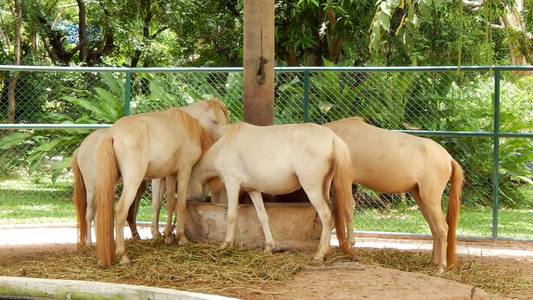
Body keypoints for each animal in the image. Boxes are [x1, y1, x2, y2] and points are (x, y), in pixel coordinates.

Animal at [96, 99, 229, 268]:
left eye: (224, 119)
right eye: (214, 120)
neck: (189, 124)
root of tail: (113, 133)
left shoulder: (171, 175)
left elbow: (170, 203)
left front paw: (167, 236)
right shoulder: (184, 170)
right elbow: (180, 204)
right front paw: (181, 238)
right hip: (133, 182)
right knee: (120, 211)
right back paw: (123, 256)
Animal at [189, 122, 356, 260]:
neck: (227, 145)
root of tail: (332, 137)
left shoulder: (232, 183)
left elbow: (231, 215)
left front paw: (226, 244)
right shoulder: (253, 190)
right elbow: (263, 216)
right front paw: (269, 247)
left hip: (313, 189)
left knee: (326, 216)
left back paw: (319, 255)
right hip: (324, 187)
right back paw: (325, 251)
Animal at [324, 116, 462, 272]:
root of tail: (449, 159)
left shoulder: (346, 179)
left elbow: (347, 208)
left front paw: (350, 245)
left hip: (430, 199)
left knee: (443, 228)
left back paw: (441, 268)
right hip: (421, 198)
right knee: (435, 228)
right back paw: (434, 262)